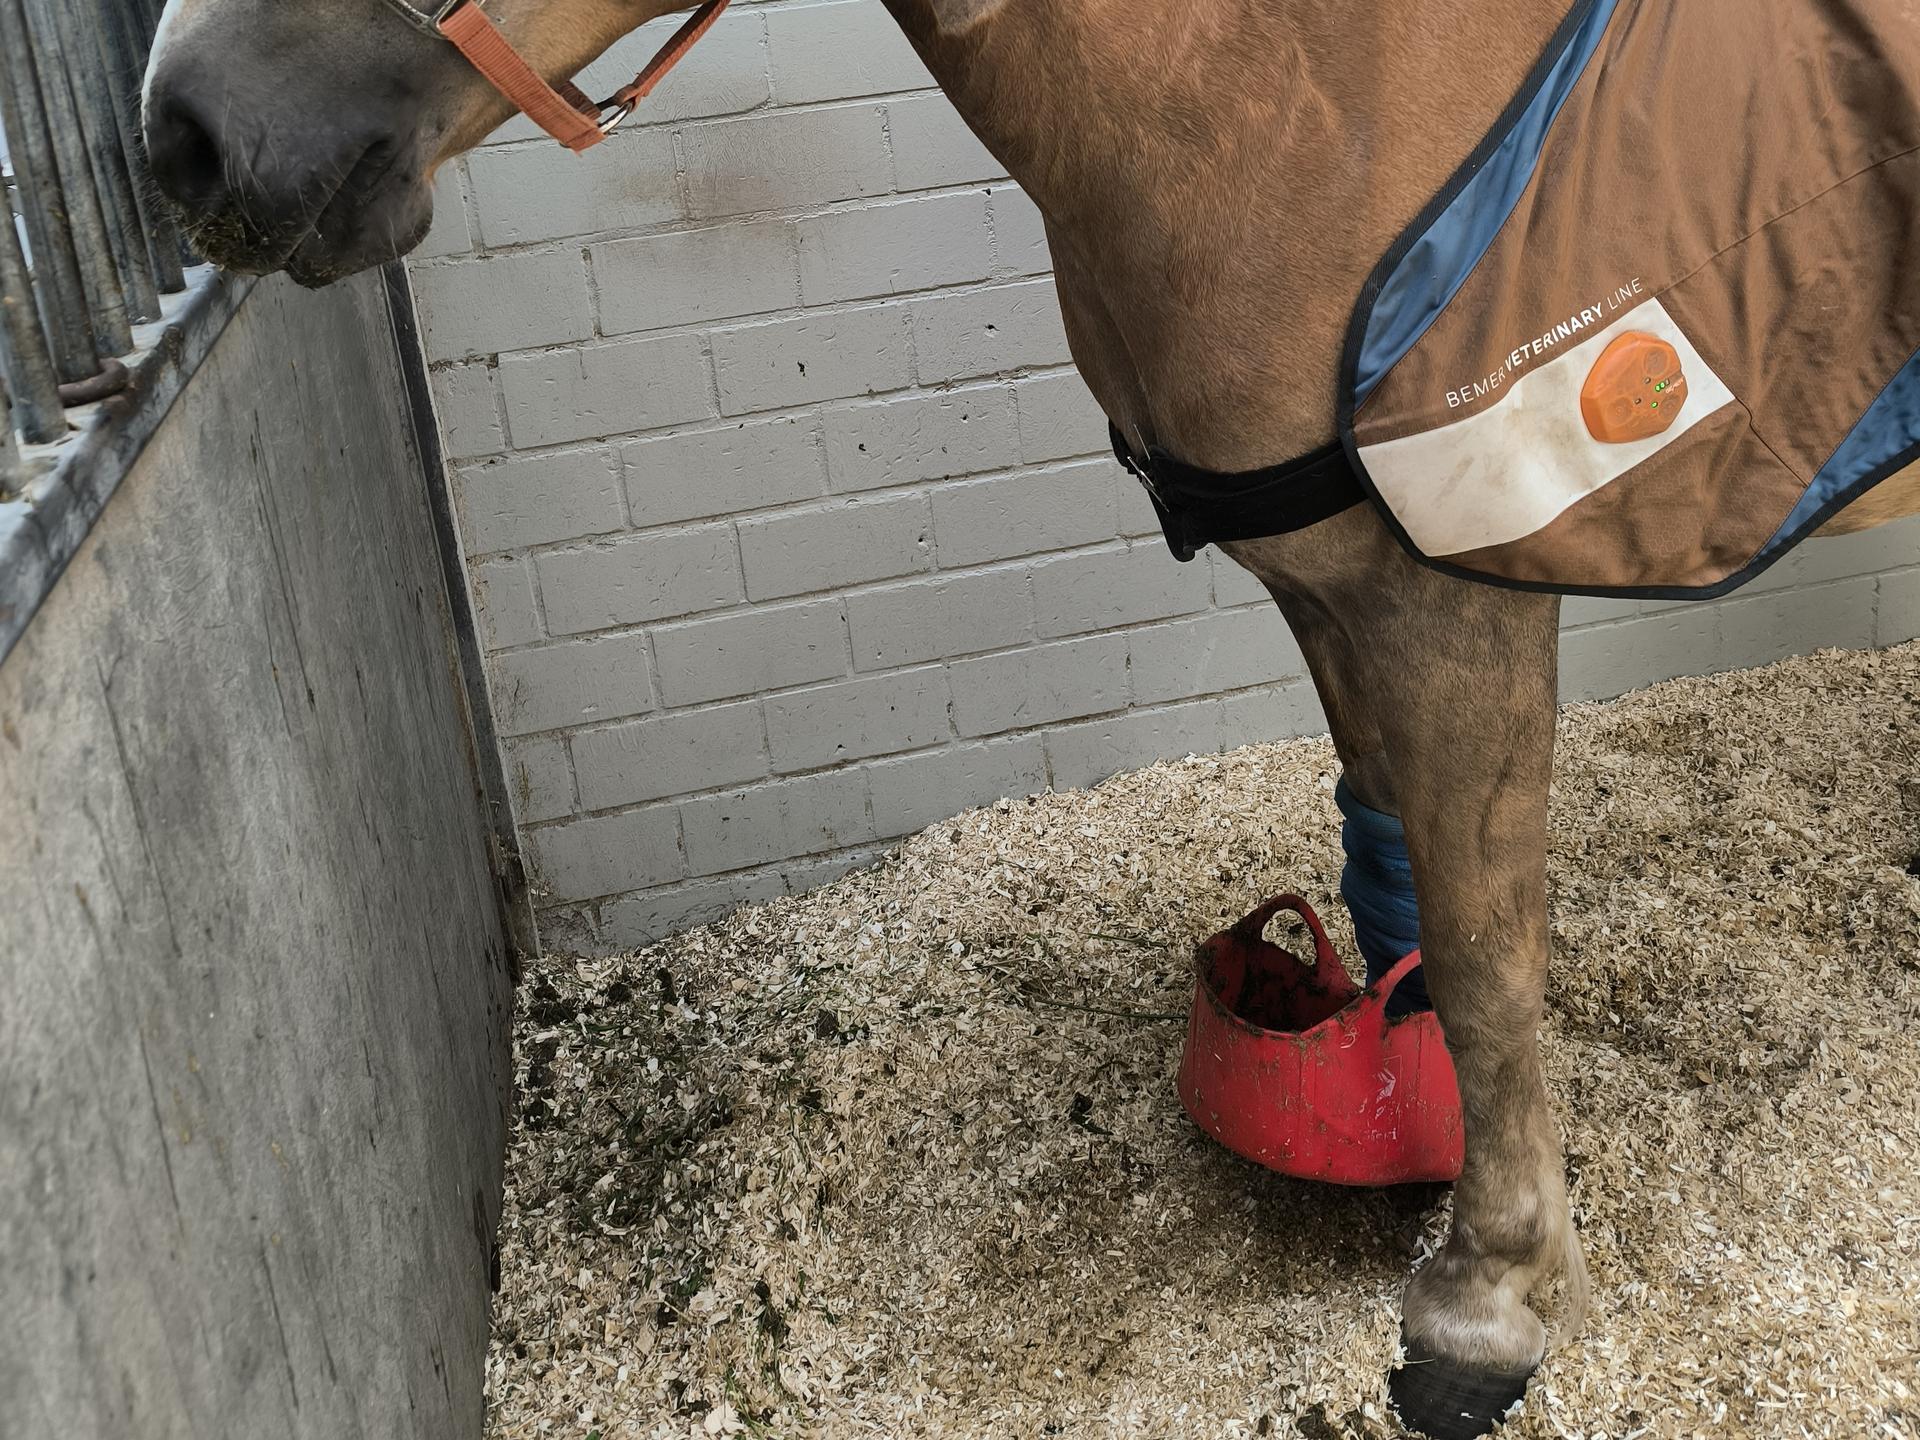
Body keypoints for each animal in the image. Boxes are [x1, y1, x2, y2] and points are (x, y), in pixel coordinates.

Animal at [139, 1, 1920, 1432]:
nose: (185, 132)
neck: (1313, 87)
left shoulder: (1454, 590)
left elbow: (1489, 962)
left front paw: (1487, 1306)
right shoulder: (1337, 584)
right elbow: (1393, 858)